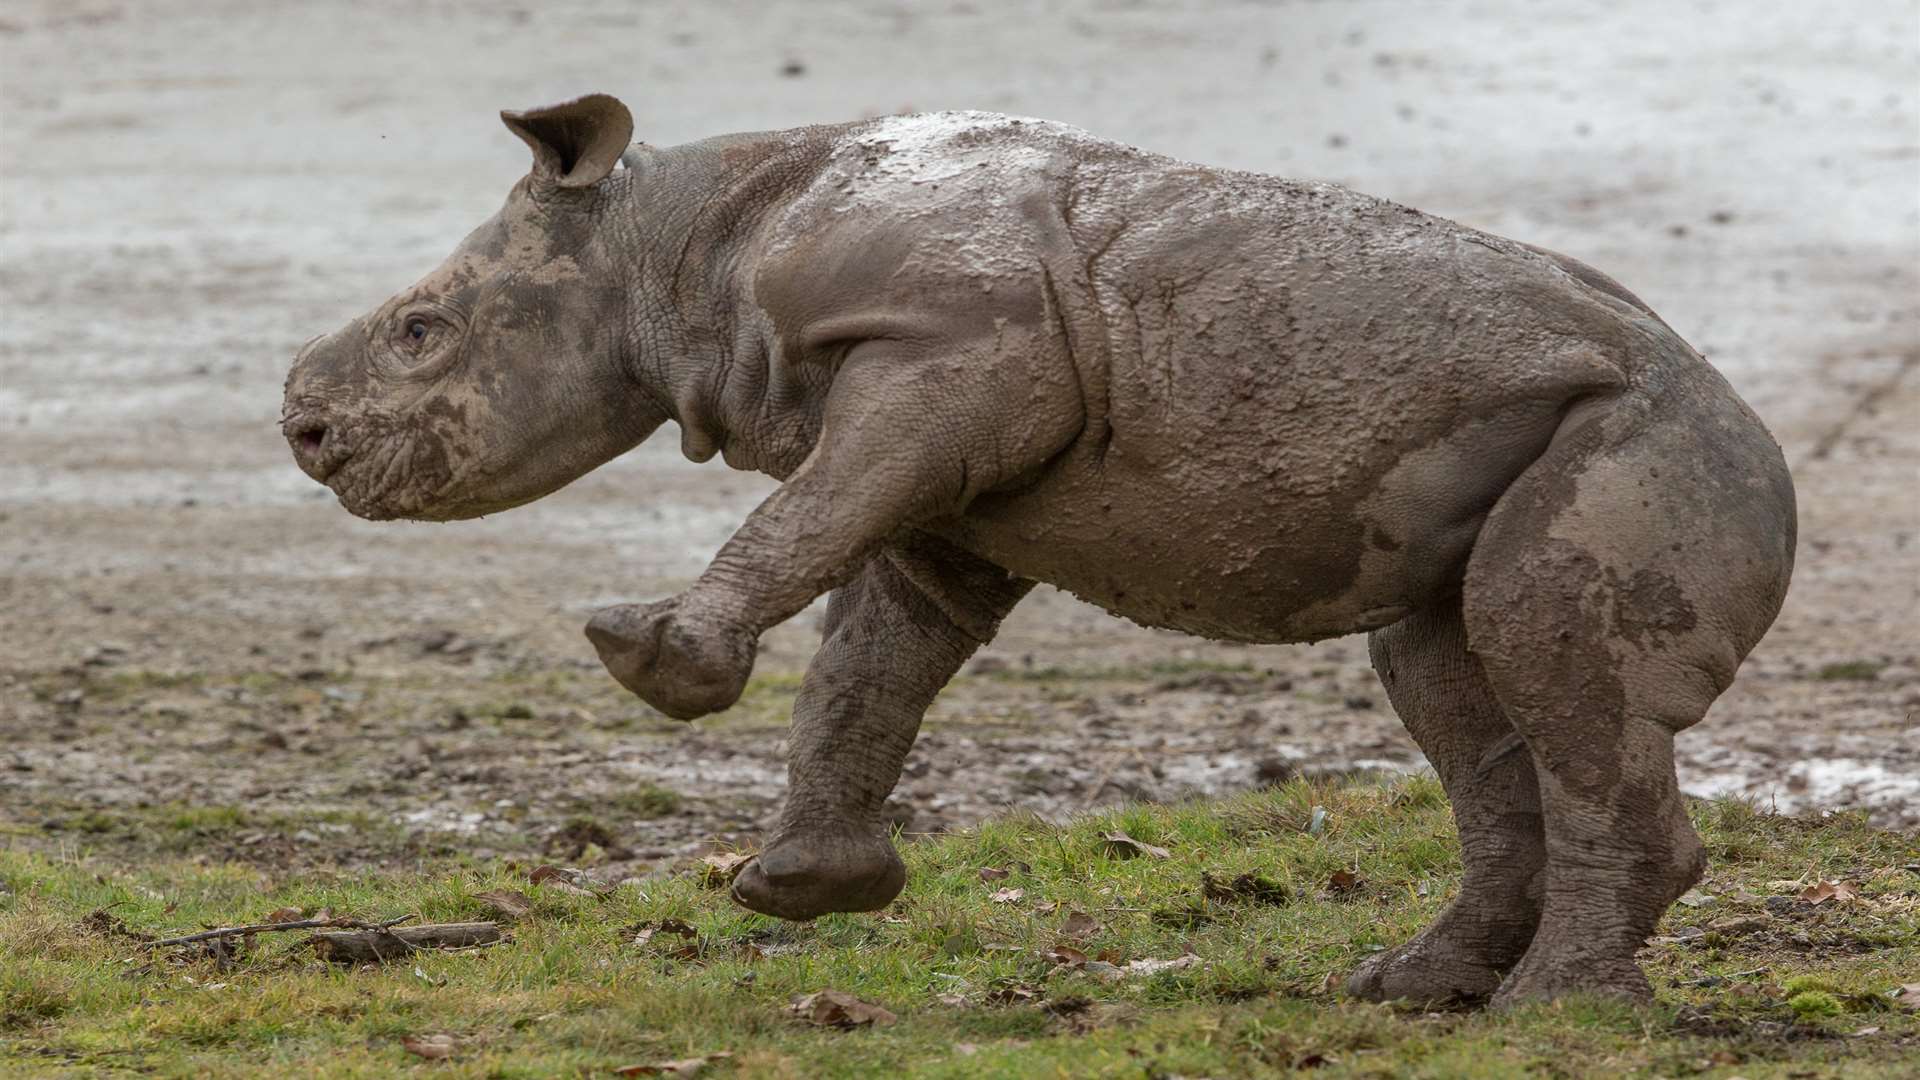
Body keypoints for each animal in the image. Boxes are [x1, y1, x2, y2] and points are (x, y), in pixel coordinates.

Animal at [284, 92, 1797, 999]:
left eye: (421, 331)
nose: (302, 430)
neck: (674, 253)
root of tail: (1763, 438)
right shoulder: (942, 471)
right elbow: (870, 659)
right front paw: (804, 888)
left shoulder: (956, 353)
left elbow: (805, 528)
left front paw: (646, 660)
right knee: (1448, 668)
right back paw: (1408, 991)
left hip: (1652, 432)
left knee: (1547, 645)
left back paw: (1555, 1010)